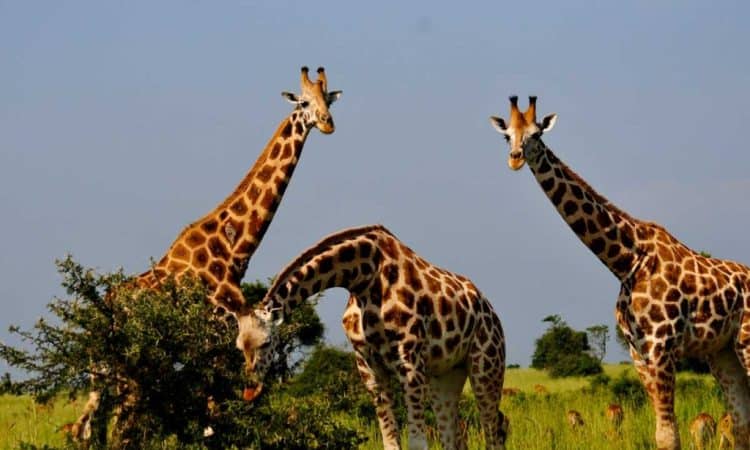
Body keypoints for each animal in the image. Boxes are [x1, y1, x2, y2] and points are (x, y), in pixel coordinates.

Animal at [72, 65, 342, 442]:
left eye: (327, 99)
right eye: (304, 102)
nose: (328, 123)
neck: (232, 249)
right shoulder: (219, 332)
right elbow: (214, 414)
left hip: (107, 368)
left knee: (89, 425)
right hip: (126, 364)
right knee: (116, 425)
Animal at [239, 225, 512, 450]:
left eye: (266, 343)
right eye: (239, 345)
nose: (250, 391)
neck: (363, 278)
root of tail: (490, 310)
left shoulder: (410, 362)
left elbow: (417, 443)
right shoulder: (369, 367)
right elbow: (390, 443)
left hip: (486, 364)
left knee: (494, 427)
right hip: (445, 375)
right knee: (455, 436)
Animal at [490, 95, 750, 446]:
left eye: (536, 134)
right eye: (508, 136)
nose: (515, 159)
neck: (625, 262)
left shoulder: (662, 347)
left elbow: (668, 435)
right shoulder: (638, 352)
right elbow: (663, 432)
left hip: (746, 341)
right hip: (724, 351)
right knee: (741, 422)